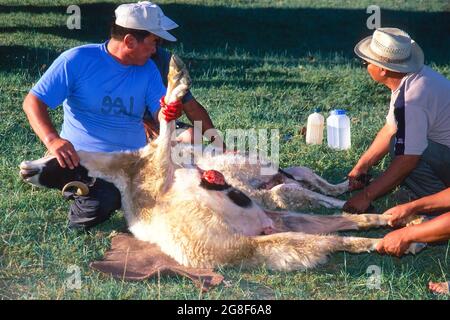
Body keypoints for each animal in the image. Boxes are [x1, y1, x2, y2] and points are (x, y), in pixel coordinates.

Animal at [18, 56, 426, 272]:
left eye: (57, 161)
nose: (25, 169)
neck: (127, 174)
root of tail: (264, 226)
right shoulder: (157, 168)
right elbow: (166, 121)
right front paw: (177, 80)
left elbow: (166, 121)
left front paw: (176, 77)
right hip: (290, 237)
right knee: (344, 236)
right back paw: (402, 237)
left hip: (291, 219)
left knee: (352, 218)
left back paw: (404, 220)